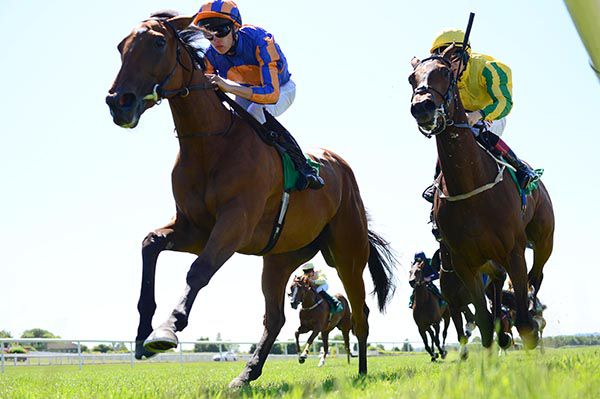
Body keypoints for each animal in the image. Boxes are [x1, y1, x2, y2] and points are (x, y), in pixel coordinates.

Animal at [105, 12, 396, 388]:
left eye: (157, 42)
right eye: (121, 46)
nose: (118, 102)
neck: (210, 144)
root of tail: (342, 169)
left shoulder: (234, 224)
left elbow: (198, 272)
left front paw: (168, 329)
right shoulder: (194, 228)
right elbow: (150, 244)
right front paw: (143, 335)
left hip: (347, 253)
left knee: (360, 313)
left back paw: (360, 372)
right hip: (279, 258)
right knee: (275, 318)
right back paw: (246, 374)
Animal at [410, 47, 556, 350]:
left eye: (445, 72)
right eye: (410, 78)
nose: (422, 106)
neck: (470, 186)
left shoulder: (514, 251)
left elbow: (525, 325)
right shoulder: (465, 264)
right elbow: (485, 325)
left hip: (543, 241)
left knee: (536, 277)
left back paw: (534, 306)